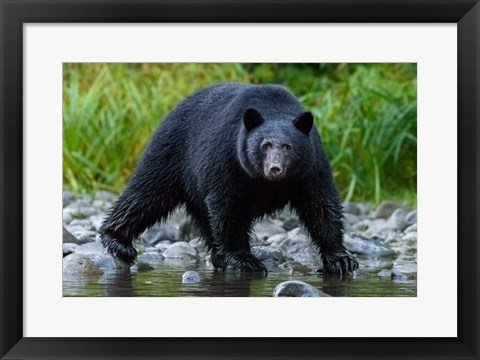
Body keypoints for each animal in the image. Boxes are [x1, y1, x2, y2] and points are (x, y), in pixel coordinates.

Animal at [100, 83, 356, 276]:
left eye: (288, 147)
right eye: (265, 145)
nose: (275, 169)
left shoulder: (311, 167)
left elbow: (321, 206)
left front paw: (341, 260)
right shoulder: (228, 157)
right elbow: (228, 206)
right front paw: (244, 259)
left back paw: (217, 255)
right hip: (171, 151)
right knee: (146, 193)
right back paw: (117, 241)